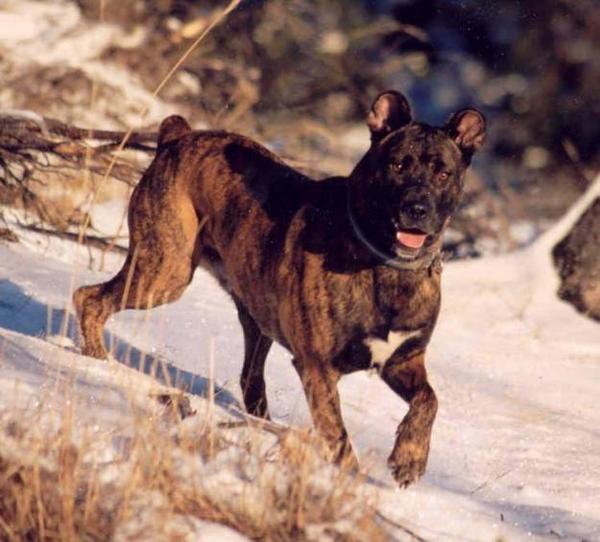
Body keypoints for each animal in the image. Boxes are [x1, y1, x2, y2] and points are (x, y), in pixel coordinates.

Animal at [76, 90, 488, 488]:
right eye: (397, 165)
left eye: (444, 173)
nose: (416, 209)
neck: (384, 265)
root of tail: (175, 138)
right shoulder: (318, 367)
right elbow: (338, 435)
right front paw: (350, 482)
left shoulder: (403, 359)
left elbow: (428, 400)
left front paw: (409, 458)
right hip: (164, 271)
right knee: (90, 298)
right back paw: (96, 362)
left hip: (254, 313)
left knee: (250, 377)